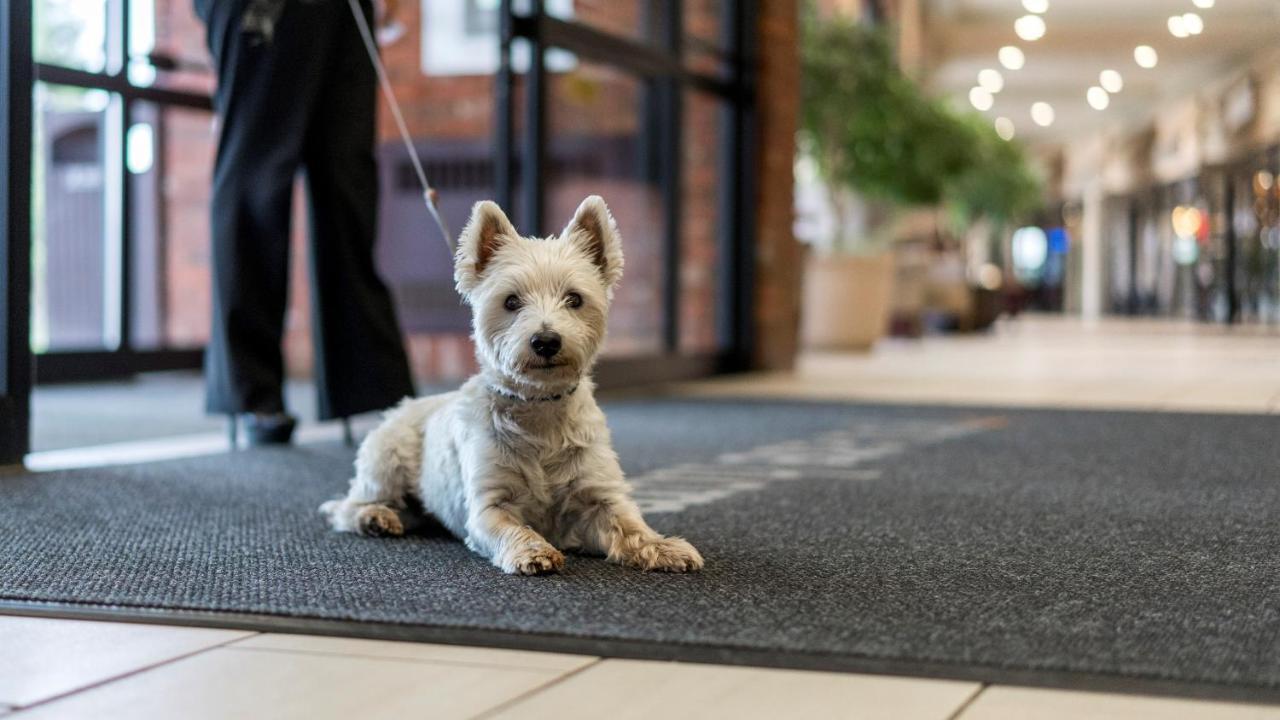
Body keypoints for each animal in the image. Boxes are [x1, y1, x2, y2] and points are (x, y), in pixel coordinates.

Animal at [317, 193, 701, 573]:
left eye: (574, 299)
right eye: (511, 301)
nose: (545, 341)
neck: (541, 409)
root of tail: (405, 406)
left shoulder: (599, 494)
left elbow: (630, 525)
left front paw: (664, 547)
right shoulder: (489, 505)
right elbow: (513, 529)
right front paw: (534, 550)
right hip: (387, 461)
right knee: (345, 507)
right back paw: (374, 517)